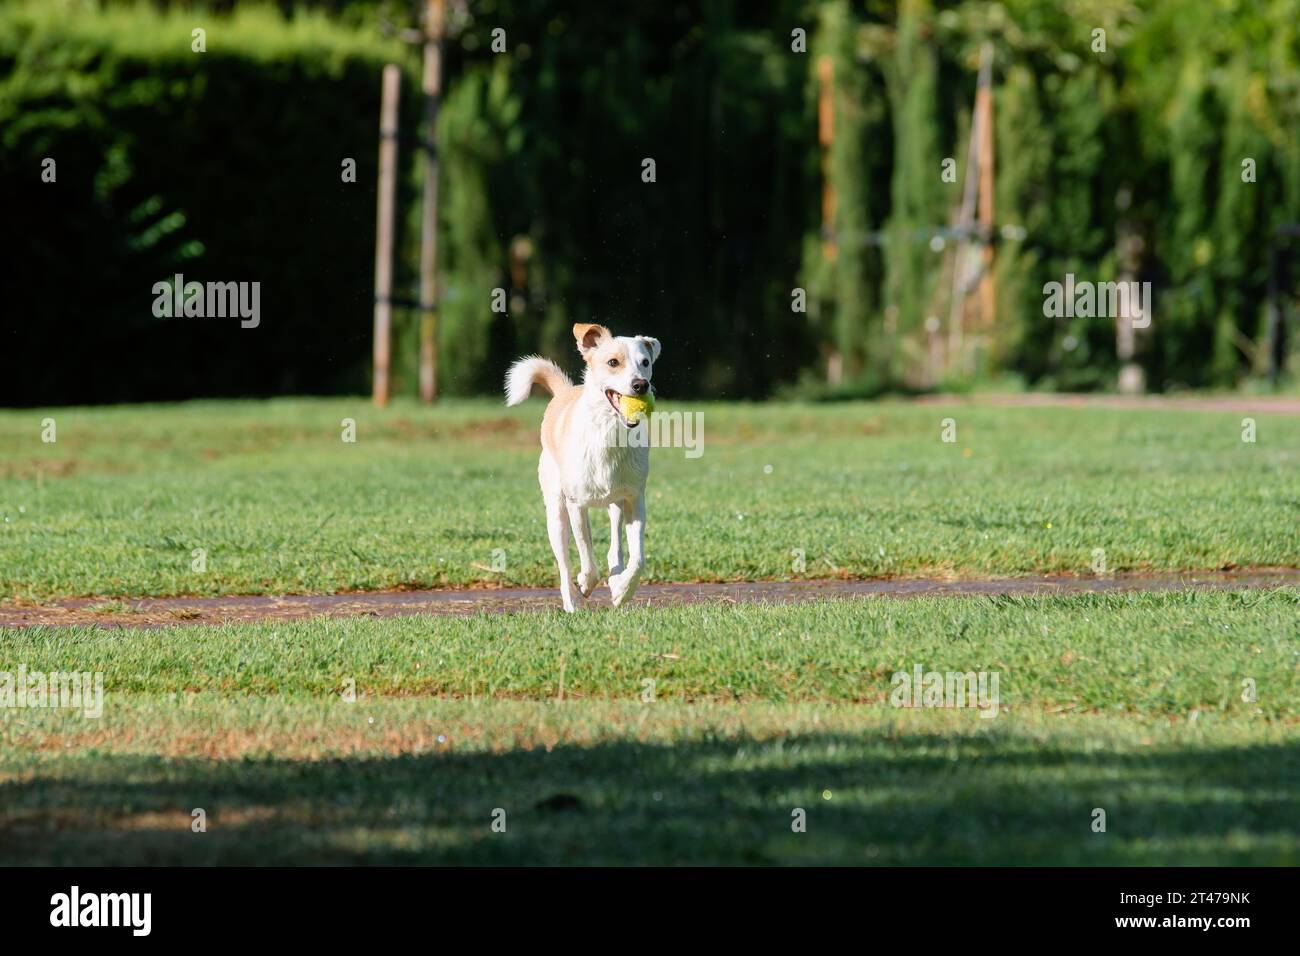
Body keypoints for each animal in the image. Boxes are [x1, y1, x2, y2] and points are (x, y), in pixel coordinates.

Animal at [501, 323, 655, 613]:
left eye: (646, 362)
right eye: (613, 362)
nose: (641, 384)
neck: (609, 432)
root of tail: (563, 393)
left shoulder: (635, 500)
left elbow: (638, 557)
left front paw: (622, 590)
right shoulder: (576, 505)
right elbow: (586, 554)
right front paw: (585, 583)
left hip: (616, 503)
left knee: (615, 545)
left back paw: (616, 577)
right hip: (556, 512)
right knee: (563, 560)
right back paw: (571, 601)